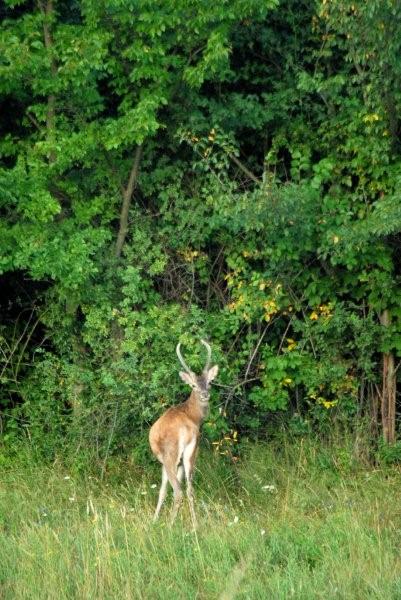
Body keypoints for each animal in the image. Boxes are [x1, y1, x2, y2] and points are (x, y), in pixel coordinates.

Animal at [149, 340, 219, 528]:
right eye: (194, 384)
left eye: (210, 382)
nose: (205, 394)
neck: (193, 416)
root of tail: (185, 430)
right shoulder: (180, 462)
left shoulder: (165, 460)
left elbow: (162, 490)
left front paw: (155, 520)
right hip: (189, 453)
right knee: (189, 489)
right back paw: (195, 525)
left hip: (172, 455)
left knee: (178, 491)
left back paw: (170, 526)